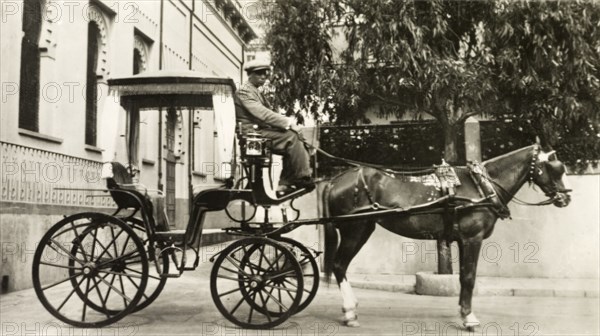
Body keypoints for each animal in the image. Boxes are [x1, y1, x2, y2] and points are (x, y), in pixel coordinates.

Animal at [324, 144, 572, 328]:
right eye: (554, 169)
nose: (566, 198)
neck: (481, 186)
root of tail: (334, 180)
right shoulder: (473, 239)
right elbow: (469, 277)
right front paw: (469, 318)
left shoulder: (462, 240)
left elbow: (463, 276)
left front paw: (463, 312)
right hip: (354, 230)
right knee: (339, 265)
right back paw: (349, 312)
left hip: (364, 229)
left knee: (340, 266)